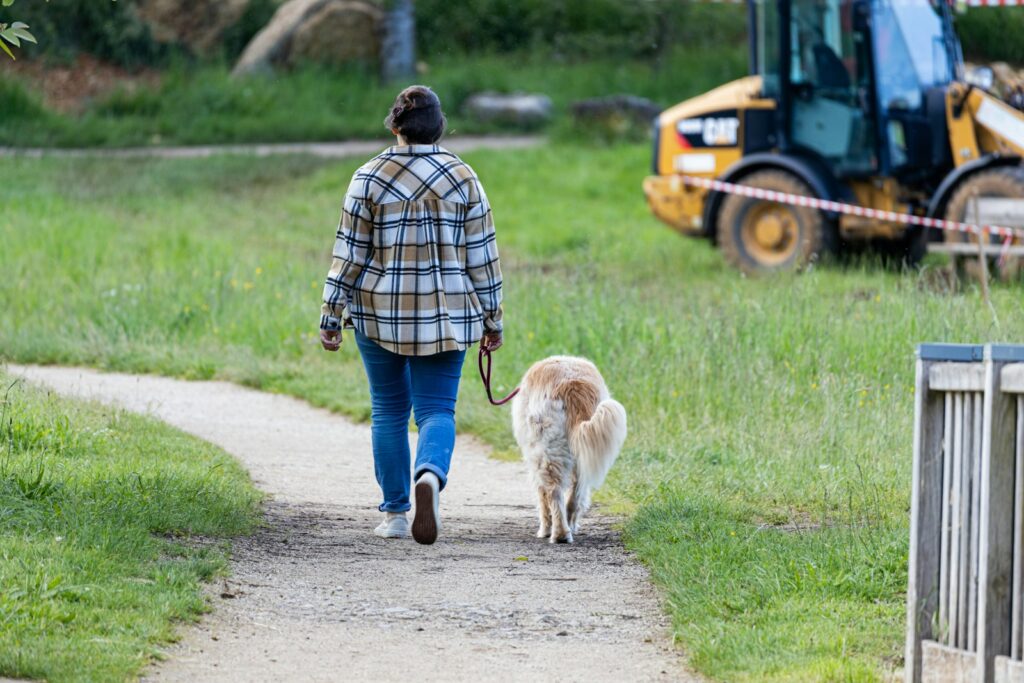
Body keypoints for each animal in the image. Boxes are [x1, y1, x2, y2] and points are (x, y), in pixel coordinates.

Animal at [509, 358, 622, 544]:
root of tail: (573, 387)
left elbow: (542, 497)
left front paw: (544, 529)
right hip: (579, 456)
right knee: (574, 495)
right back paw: (568, 528)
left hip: (547, 452)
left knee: (553, 493)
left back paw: (558, 533)